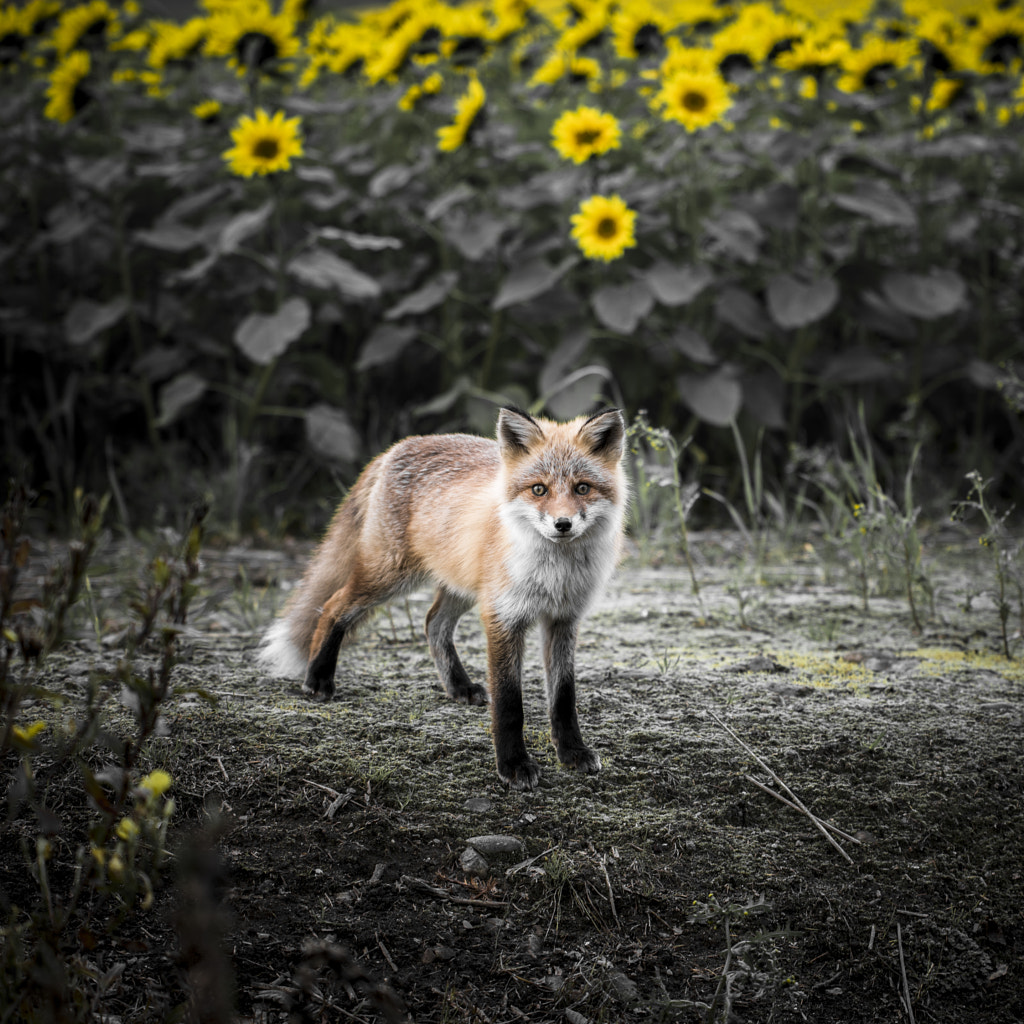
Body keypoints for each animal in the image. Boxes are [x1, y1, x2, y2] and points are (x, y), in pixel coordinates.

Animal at [260, 403, 626, 786]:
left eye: (582, 488)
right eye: (539, 489)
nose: (562, 524)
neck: (556, 573)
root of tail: (399, 446)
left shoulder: (563, 619)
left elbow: (564, 698)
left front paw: (572, 752)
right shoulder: (503, 614)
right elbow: (509, 703)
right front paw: (513, 764)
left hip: (459, 584)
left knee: (432, 623)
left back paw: (459, 686)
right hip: (389, 576)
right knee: (332, 606)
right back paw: (317, 678)